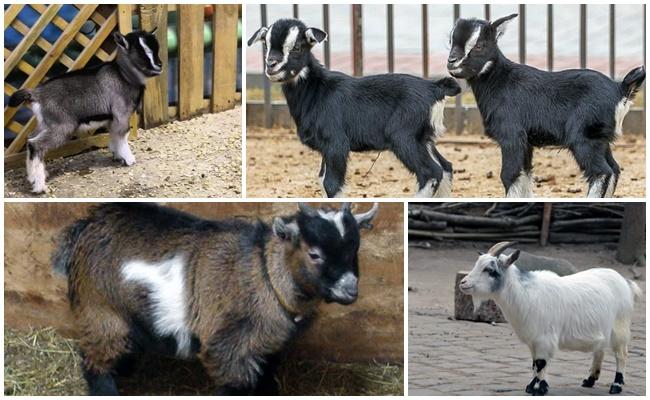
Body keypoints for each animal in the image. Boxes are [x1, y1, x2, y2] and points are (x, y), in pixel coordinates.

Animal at [53, 202, 378, 396]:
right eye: (315, 254)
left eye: (355, 250)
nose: (350, 290)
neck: (265, 274)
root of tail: (84, 226)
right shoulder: (228, 348)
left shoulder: (267, 345)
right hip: (100, 310)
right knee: (94, 362)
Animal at [458, 242, 640, 396]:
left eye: (490, 270)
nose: (463, 283)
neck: (525, 294)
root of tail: (625, 282)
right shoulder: (533, 340)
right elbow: (534, 363)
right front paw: (531, 386)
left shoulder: (544, 338)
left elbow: (541, 363)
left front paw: (540, 389)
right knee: (599, 350)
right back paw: (589, 380)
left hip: (620, 326)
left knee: (622, 354)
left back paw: (616, 385)